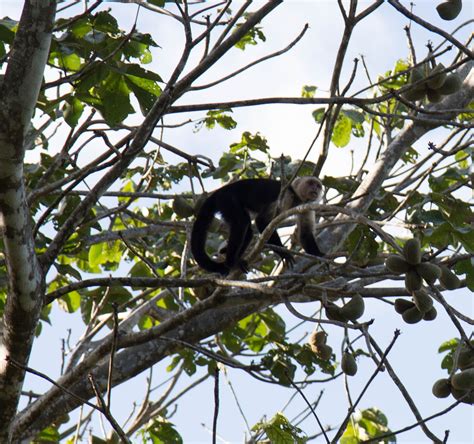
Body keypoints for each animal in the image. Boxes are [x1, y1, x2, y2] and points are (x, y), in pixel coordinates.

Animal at [191, 176, 324, 274]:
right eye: (310, 183)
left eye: (318, 186)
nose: (315, 189)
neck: (296, 198)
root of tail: (219, 191)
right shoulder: (285, 196)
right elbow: (262, 221)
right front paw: (284, 253)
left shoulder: (307, 206)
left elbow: (305, 234)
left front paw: (321, 256)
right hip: (227, 200)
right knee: (241, 222)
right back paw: (231, 262)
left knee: (247, 231)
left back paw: (229, 255)